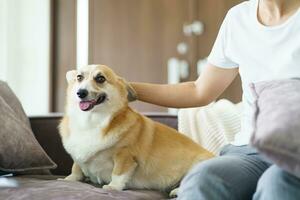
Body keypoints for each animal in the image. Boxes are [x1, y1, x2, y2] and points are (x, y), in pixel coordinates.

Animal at [58, 65, 213, 196]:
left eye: (100, 78)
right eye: (79, 77)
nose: (80, 92)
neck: (90, 121)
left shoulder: (125, 155)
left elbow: (118, 173)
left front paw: (113, 187)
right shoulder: (78, 155)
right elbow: (76, 167)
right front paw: (70, 179)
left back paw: (177, 190)